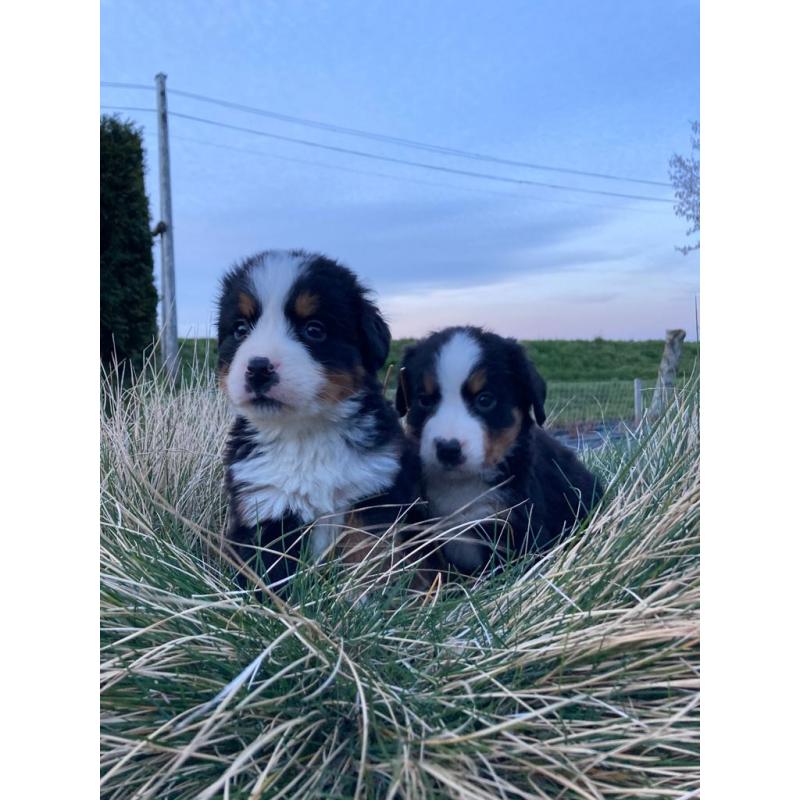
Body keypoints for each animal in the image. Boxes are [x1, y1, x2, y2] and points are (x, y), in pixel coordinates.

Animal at [216, 252, 422, 592]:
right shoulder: (266, 504)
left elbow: (365, 557)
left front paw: (359, 601)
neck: (307, 433)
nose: (258, 368)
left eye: (314, 329)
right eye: (241, 329)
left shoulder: (373, 495)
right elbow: (272, 575)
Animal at [396, 326, 604, 576]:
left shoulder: (517, 528)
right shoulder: (423, 528)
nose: (447, 449)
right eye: (424, 400)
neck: (461, 486)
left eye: (485, 400)